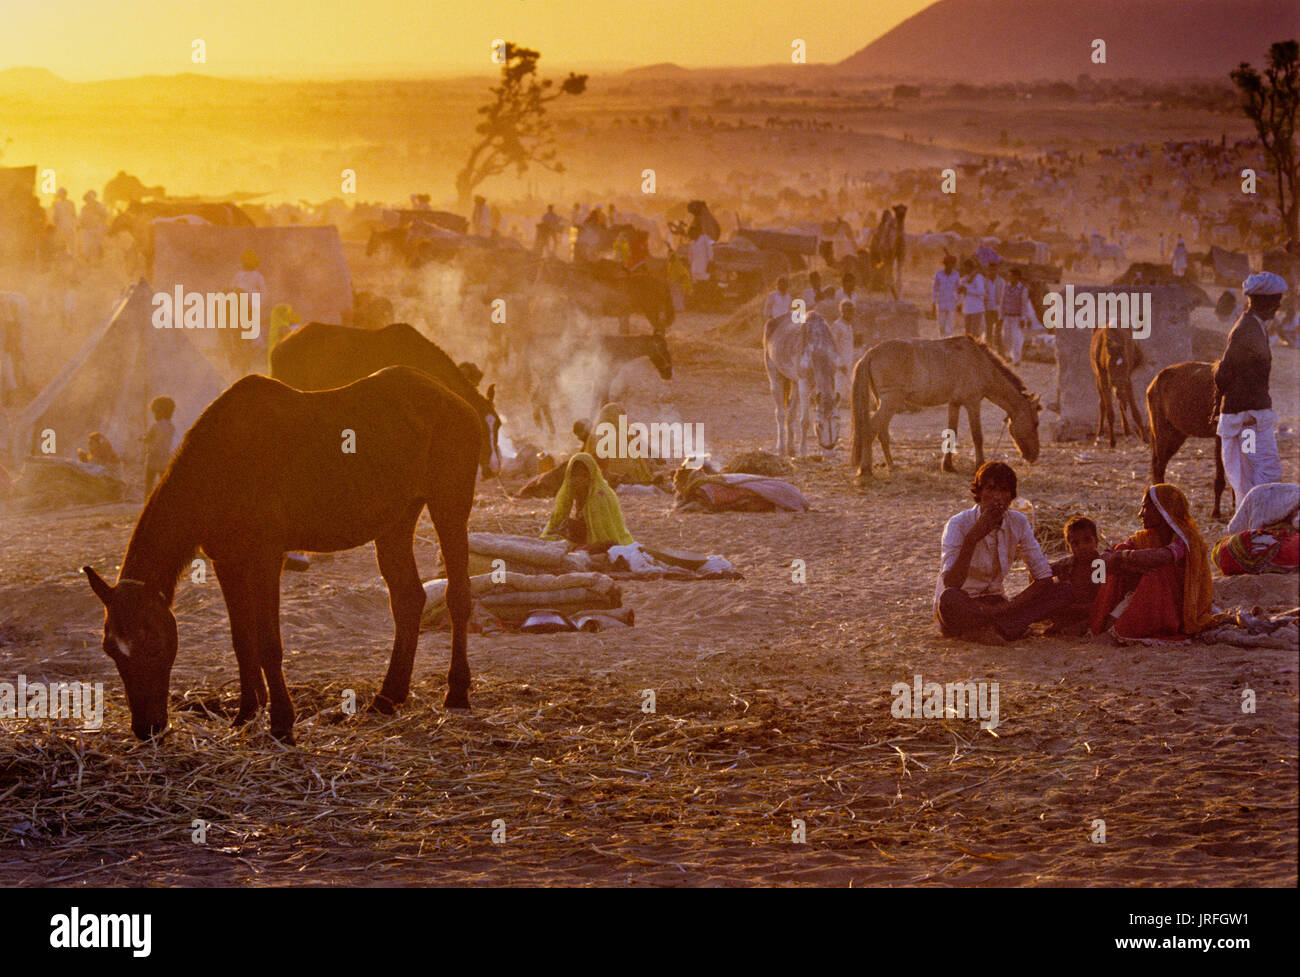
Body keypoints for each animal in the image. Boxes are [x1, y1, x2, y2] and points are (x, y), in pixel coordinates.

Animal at [85, 368, 483, 743]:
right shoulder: (226, 561)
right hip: (395, 523)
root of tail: (457, 402)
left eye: (154, 646)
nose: (147, 728)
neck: (218, 464)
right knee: (408, 600)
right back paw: (387, 698)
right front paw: (246, 714)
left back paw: (457, 692)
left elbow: (268, 643)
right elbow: (242, 639)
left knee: (457, 595)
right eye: (110, 650)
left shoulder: (266, 557)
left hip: (449, 506)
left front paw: (281, 723)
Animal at [759, 310, 842, 457]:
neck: (819, 347)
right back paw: (781, 449)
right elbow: (805, 420)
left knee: (791, 413)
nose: (829, 450)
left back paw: (790, 449)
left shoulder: (830, 378)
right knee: (780, 413)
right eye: (819, 425)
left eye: (838, 424)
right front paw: (803, 453)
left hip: (795, 382)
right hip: (774, 374)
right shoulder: (804, 384)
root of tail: (772, 322)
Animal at [847, 337, 1040, 483]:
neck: (980, 363)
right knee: (870, 429)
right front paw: (980, 465)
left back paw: (892, 466)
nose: (1034, 456)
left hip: (885, 403)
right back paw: (865, 469)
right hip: (890, 402)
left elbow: (952, 432)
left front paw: (948, 466)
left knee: (882, 433)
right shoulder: (972, 403)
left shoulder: (954, 404)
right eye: (1036, 423)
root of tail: (871, 353)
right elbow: (977, 436)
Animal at [1149, 361, 1227, 519]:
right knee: (1158, 466)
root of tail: (1155, 381)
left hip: (1177, 435)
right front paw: (1216, 512)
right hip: (1164, 435)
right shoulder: (1219, 437)